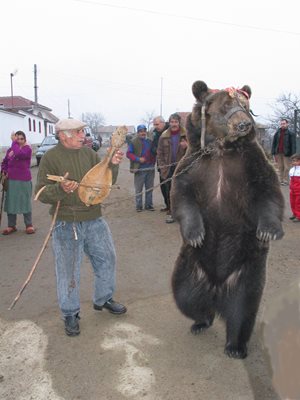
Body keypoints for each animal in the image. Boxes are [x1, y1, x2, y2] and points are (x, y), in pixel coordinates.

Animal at [171, 79, 284, 358]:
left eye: (245, 105)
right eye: (225, 105)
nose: (244, 124)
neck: (222, 149)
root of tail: (216, 287)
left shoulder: (251, 162)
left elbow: (268, 189)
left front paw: (269, 230)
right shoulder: (193, 163)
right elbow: (181, 193)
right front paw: (196, 234)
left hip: (247, 273)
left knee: (242, 311)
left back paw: (235, 346)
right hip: (190, 269)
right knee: (185, 297)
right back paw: (202, 321)